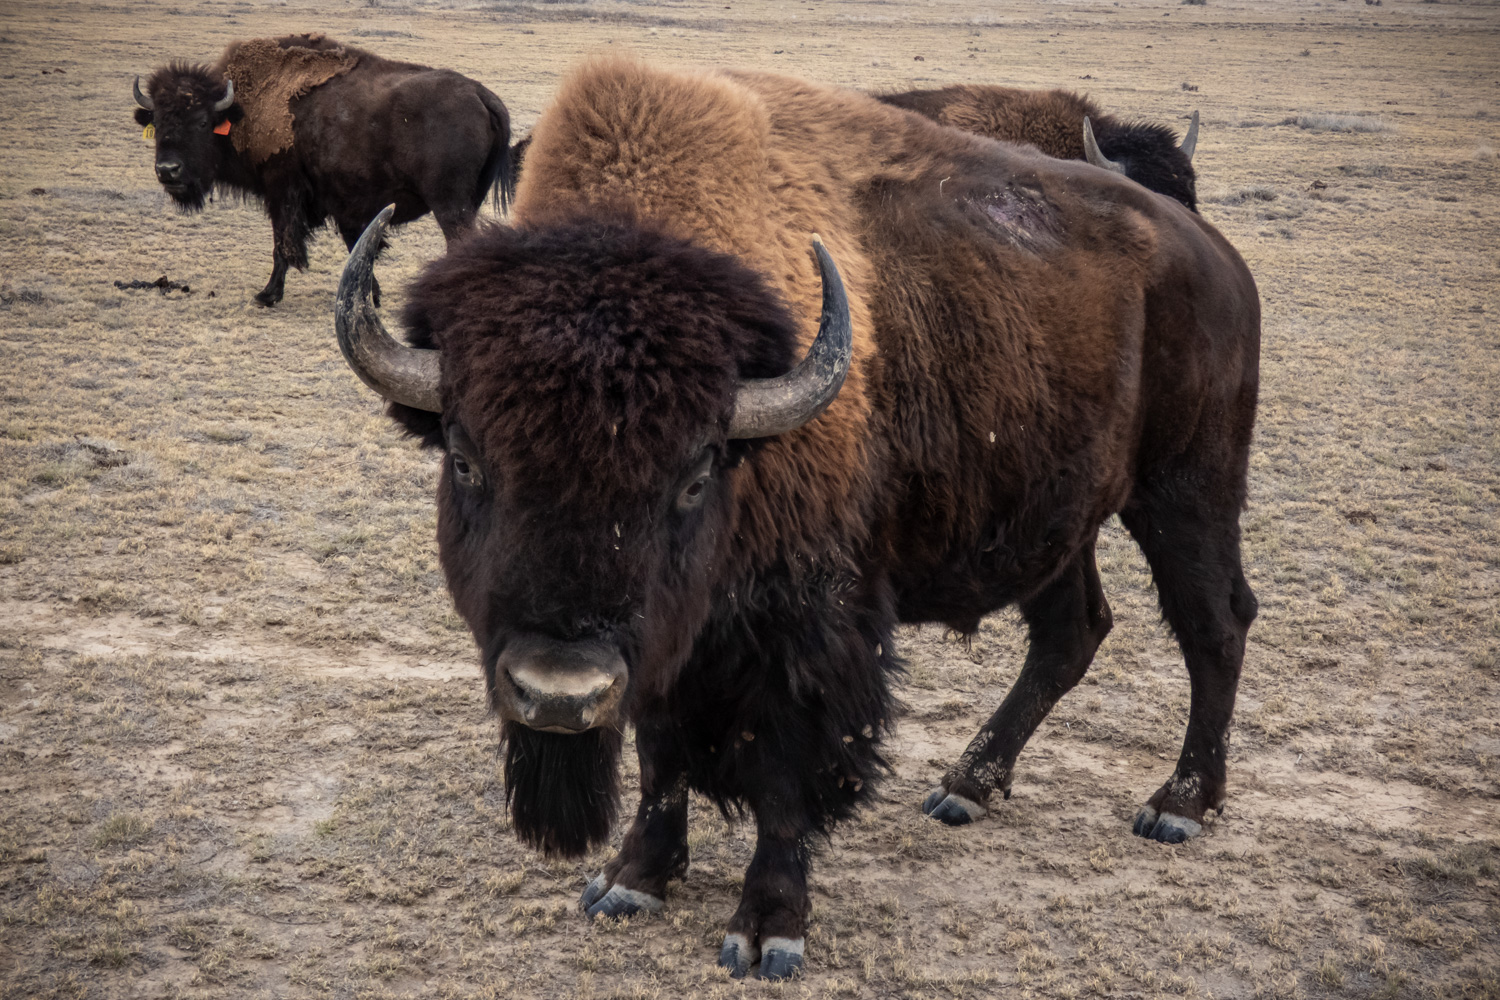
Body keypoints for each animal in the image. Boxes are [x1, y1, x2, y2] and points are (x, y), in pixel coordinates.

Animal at [133, 33, 514, 306]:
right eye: (159, 121)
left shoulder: (282, 190)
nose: (168, 170)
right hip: (467, 201)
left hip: (449, 204)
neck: (243, 109)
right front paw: (371, 296)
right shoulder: (345, 206)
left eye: (201, 122)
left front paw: (266, 295)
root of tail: (480, 93)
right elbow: (357, 246)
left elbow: (284, 243)